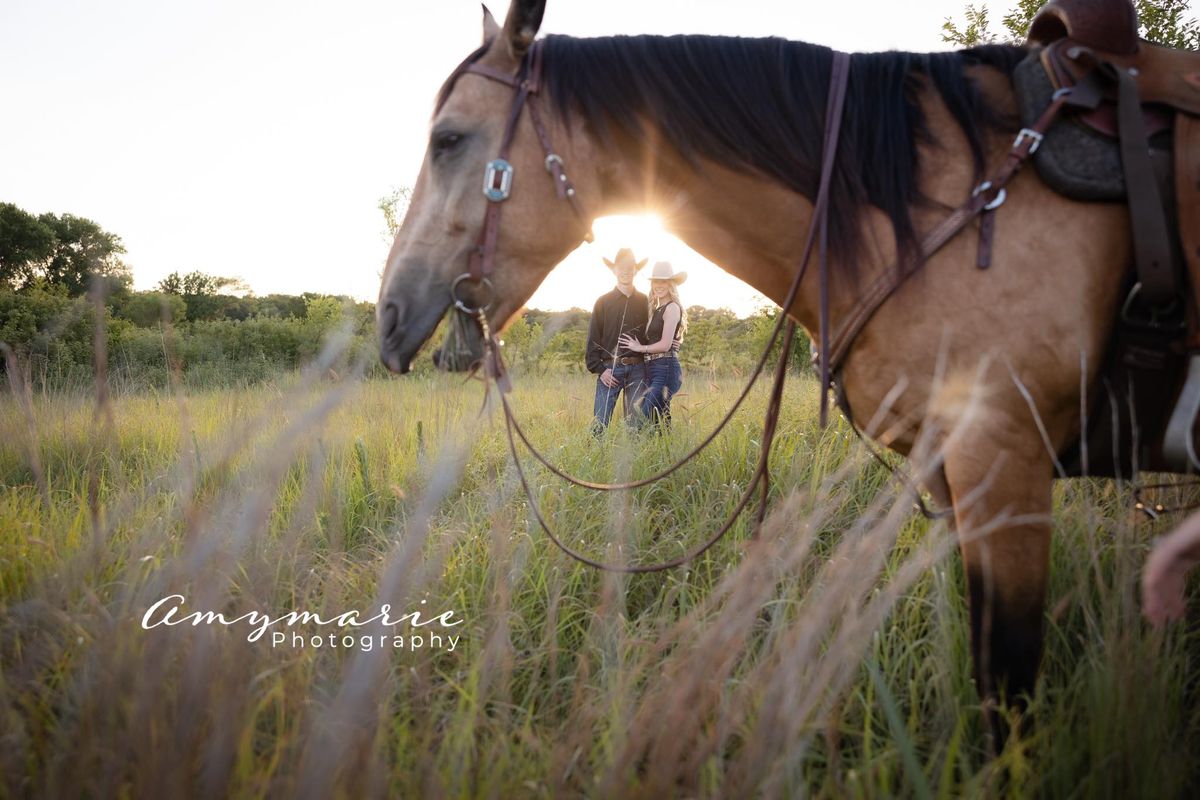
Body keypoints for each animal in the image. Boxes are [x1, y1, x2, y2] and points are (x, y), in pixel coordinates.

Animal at [379, 0, 1200, 734]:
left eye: (448, 139)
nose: (388, 319)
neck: (931, 204)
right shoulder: (954, 474)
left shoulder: (1004, 465)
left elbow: (1007, 686)